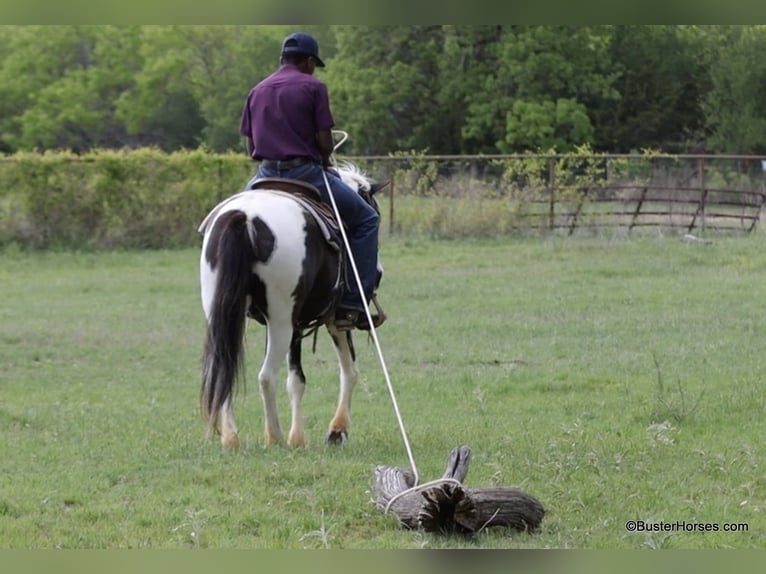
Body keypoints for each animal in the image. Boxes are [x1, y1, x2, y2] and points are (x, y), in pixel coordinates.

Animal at [198, 162, 387, 449]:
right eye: (375, 210)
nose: (379, 272)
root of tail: (245, 217)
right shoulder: (334, 317)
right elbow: (347, 370)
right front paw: (332, 431)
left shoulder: (296, 325)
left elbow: (296, 379)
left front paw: (301, 435)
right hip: (281, 321)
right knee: (266, 376)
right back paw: (274, 436)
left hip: (226, 315)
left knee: (223, 367)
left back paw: (231, 438)